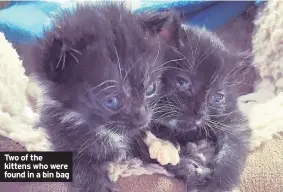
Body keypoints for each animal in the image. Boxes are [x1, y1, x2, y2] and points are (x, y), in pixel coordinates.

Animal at [22, 3, 171, 192]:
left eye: (151, 88)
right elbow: (81, 164)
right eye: (112, 101)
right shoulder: (59, 130)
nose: (143, 120)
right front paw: (98, 185)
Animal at [143, 14, 252, 190]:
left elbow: (233, 148)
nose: (199, 113)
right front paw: (190, 167)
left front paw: (218, 183)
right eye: (182, 82)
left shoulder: (233, 118)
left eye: (217, 97)